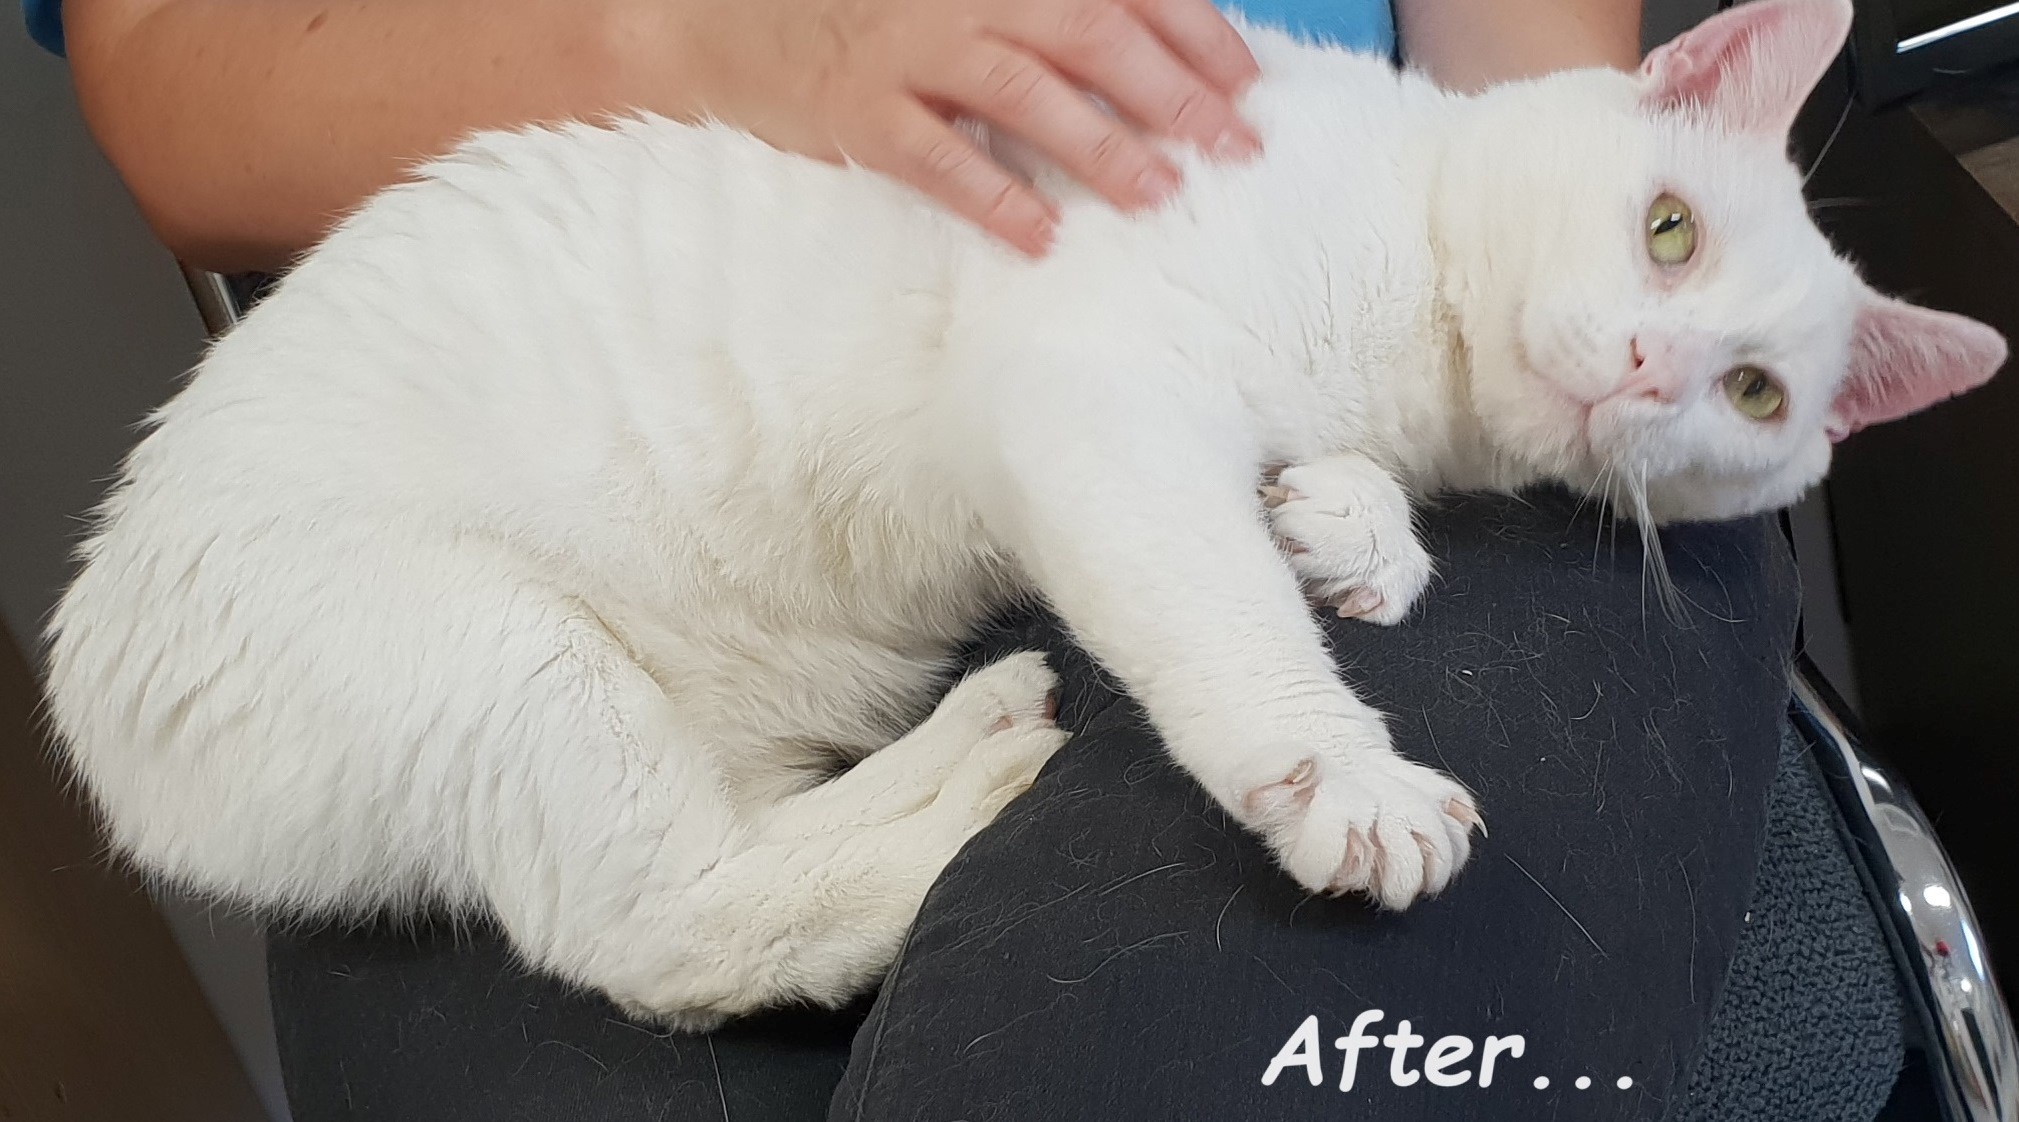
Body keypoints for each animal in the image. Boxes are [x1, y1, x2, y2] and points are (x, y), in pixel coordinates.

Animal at [43, 0, 2003, 1029]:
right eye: (1665, 230)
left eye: (1754, 397)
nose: (1652, 368)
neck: (1409, 348)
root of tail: (84, 658)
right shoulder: (1093, 397)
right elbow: (1227, 622)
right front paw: (1342, 768)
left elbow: (1316, 514)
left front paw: (1347, 526)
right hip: (507, 655)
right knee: (653, 934)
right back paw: (975, 788)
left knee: (729, 862)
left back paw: (961, 745)